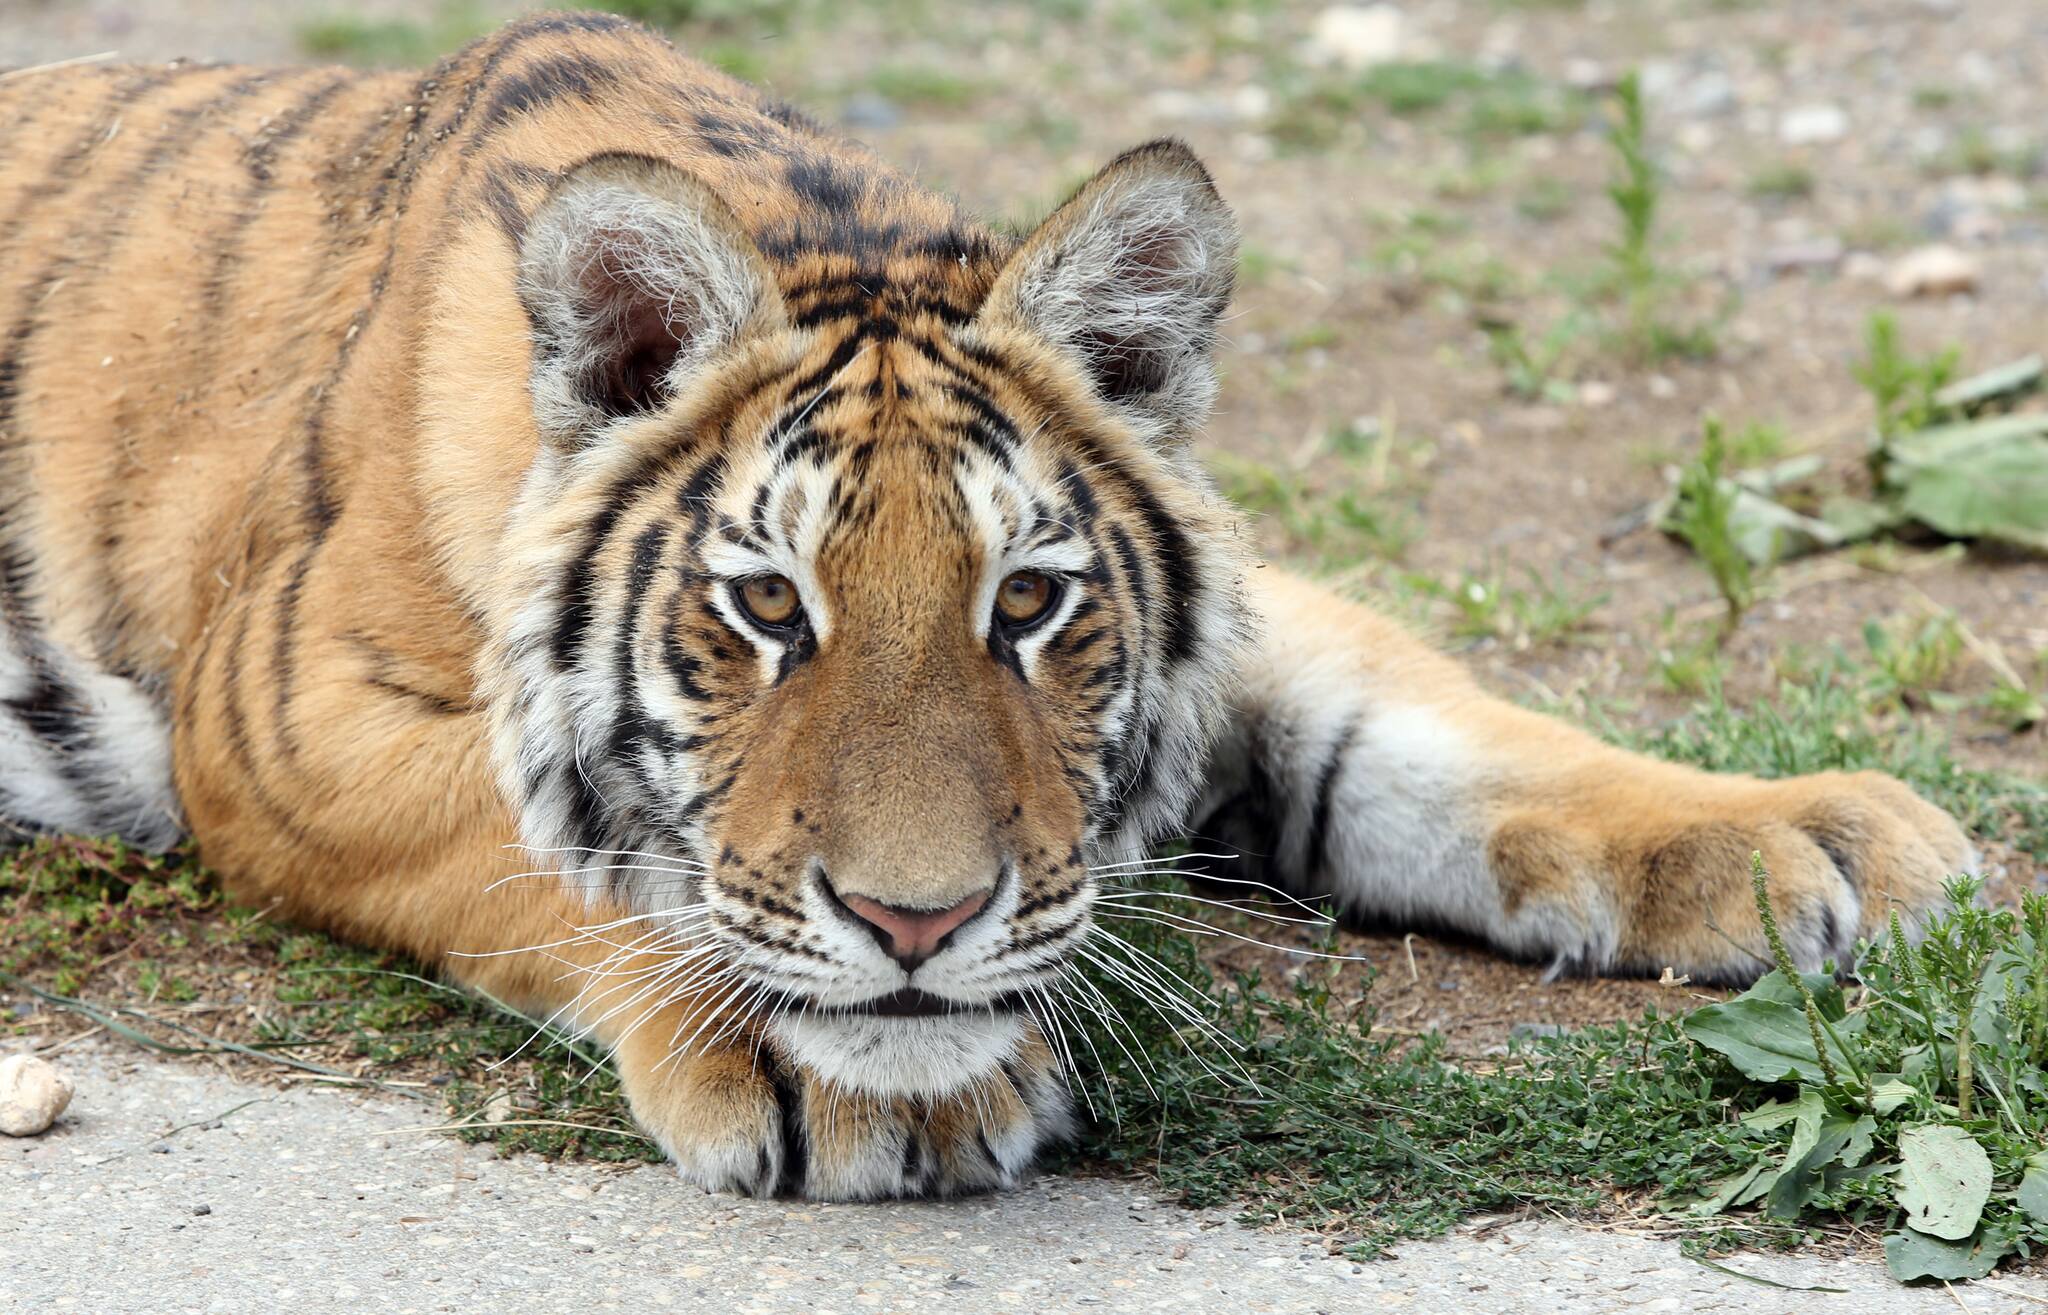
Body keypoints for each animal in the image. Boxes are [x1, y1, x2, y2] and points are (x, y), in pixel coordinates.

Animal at [0, 12, 1972, 1200]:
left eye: (1026, 600)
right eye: (766, 606)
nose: (920, 925)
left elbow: (1435, 726)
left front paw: (1814, 835)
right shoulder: (282, 720)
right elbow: (549, 858)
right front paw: (867, 1081)